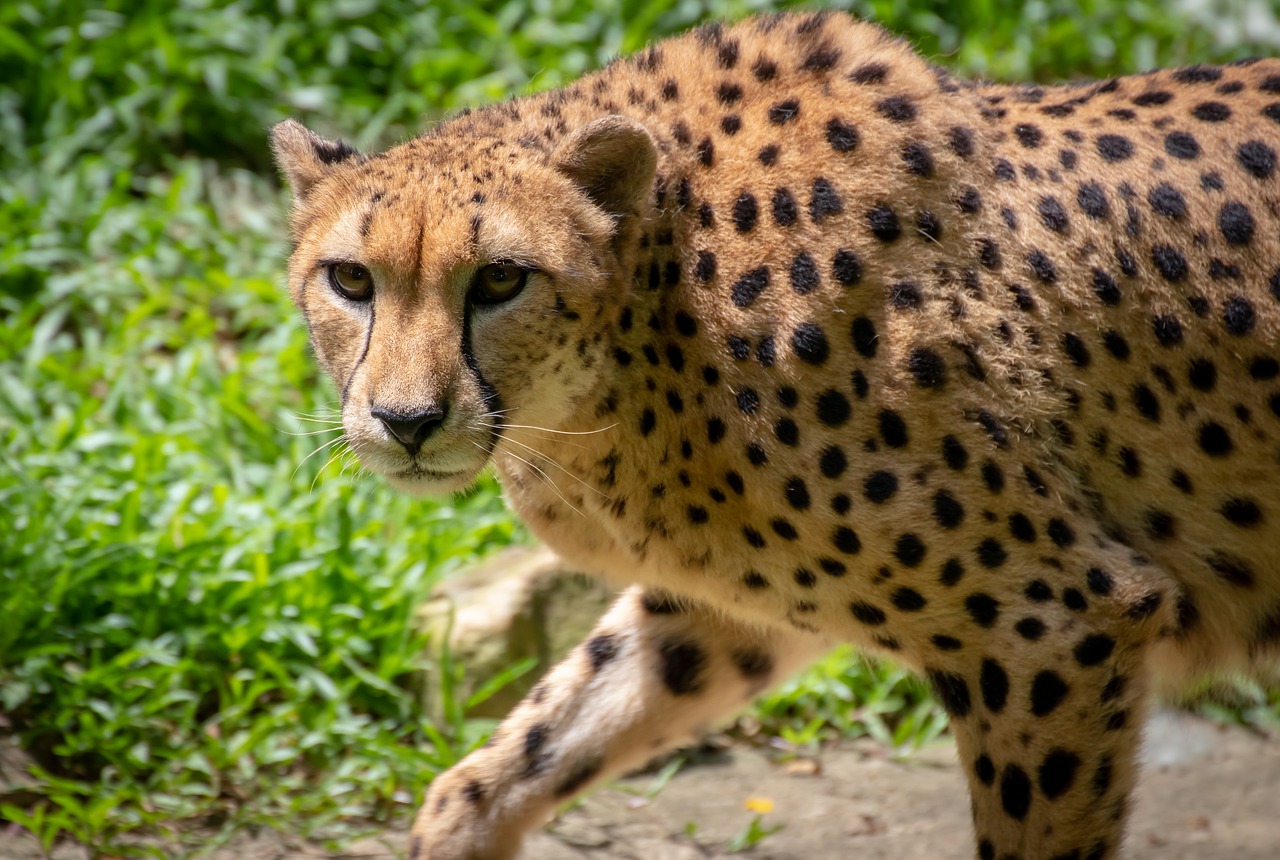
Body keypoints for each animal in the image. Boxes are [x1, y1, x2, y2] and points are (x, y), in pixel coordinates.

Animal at [270, 11, 1280, 859]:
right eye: (351, 279)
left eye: (500, 280)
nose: (406, 423)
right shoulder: (729, 603)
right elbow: (520, 753)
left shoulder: (1058, 623)